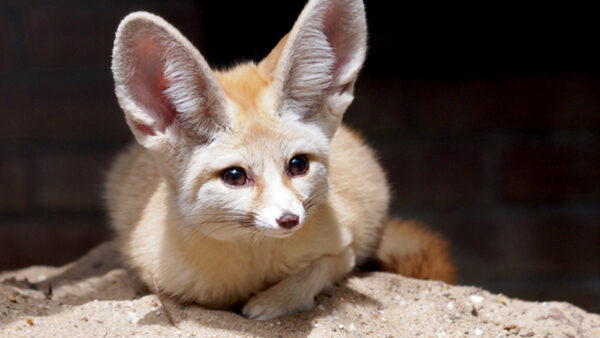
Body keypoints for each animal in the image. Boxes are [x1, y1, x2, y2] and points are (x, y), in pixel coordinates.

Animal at [108, 0, 454, 320]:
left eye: (298, 165)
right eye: (235, 176)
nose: (290, 219)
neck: (253, 265)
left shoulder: (345, 248)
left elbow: (315, 272)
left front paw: (270, 302)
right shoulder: (159, 275)